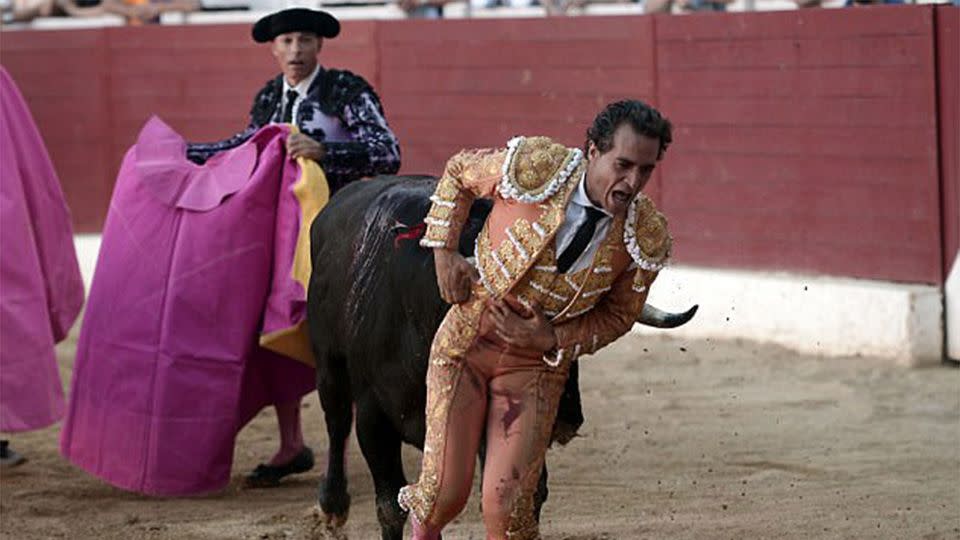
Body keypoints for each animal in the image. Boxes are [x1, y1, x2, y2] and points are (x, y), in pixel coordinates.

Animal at [308, 175, 696, 536]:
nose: (566, 420)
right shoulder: (373, 416)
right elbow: (391, 505)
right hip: (328, 366)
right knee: (336, 420)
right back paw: (332, 505)